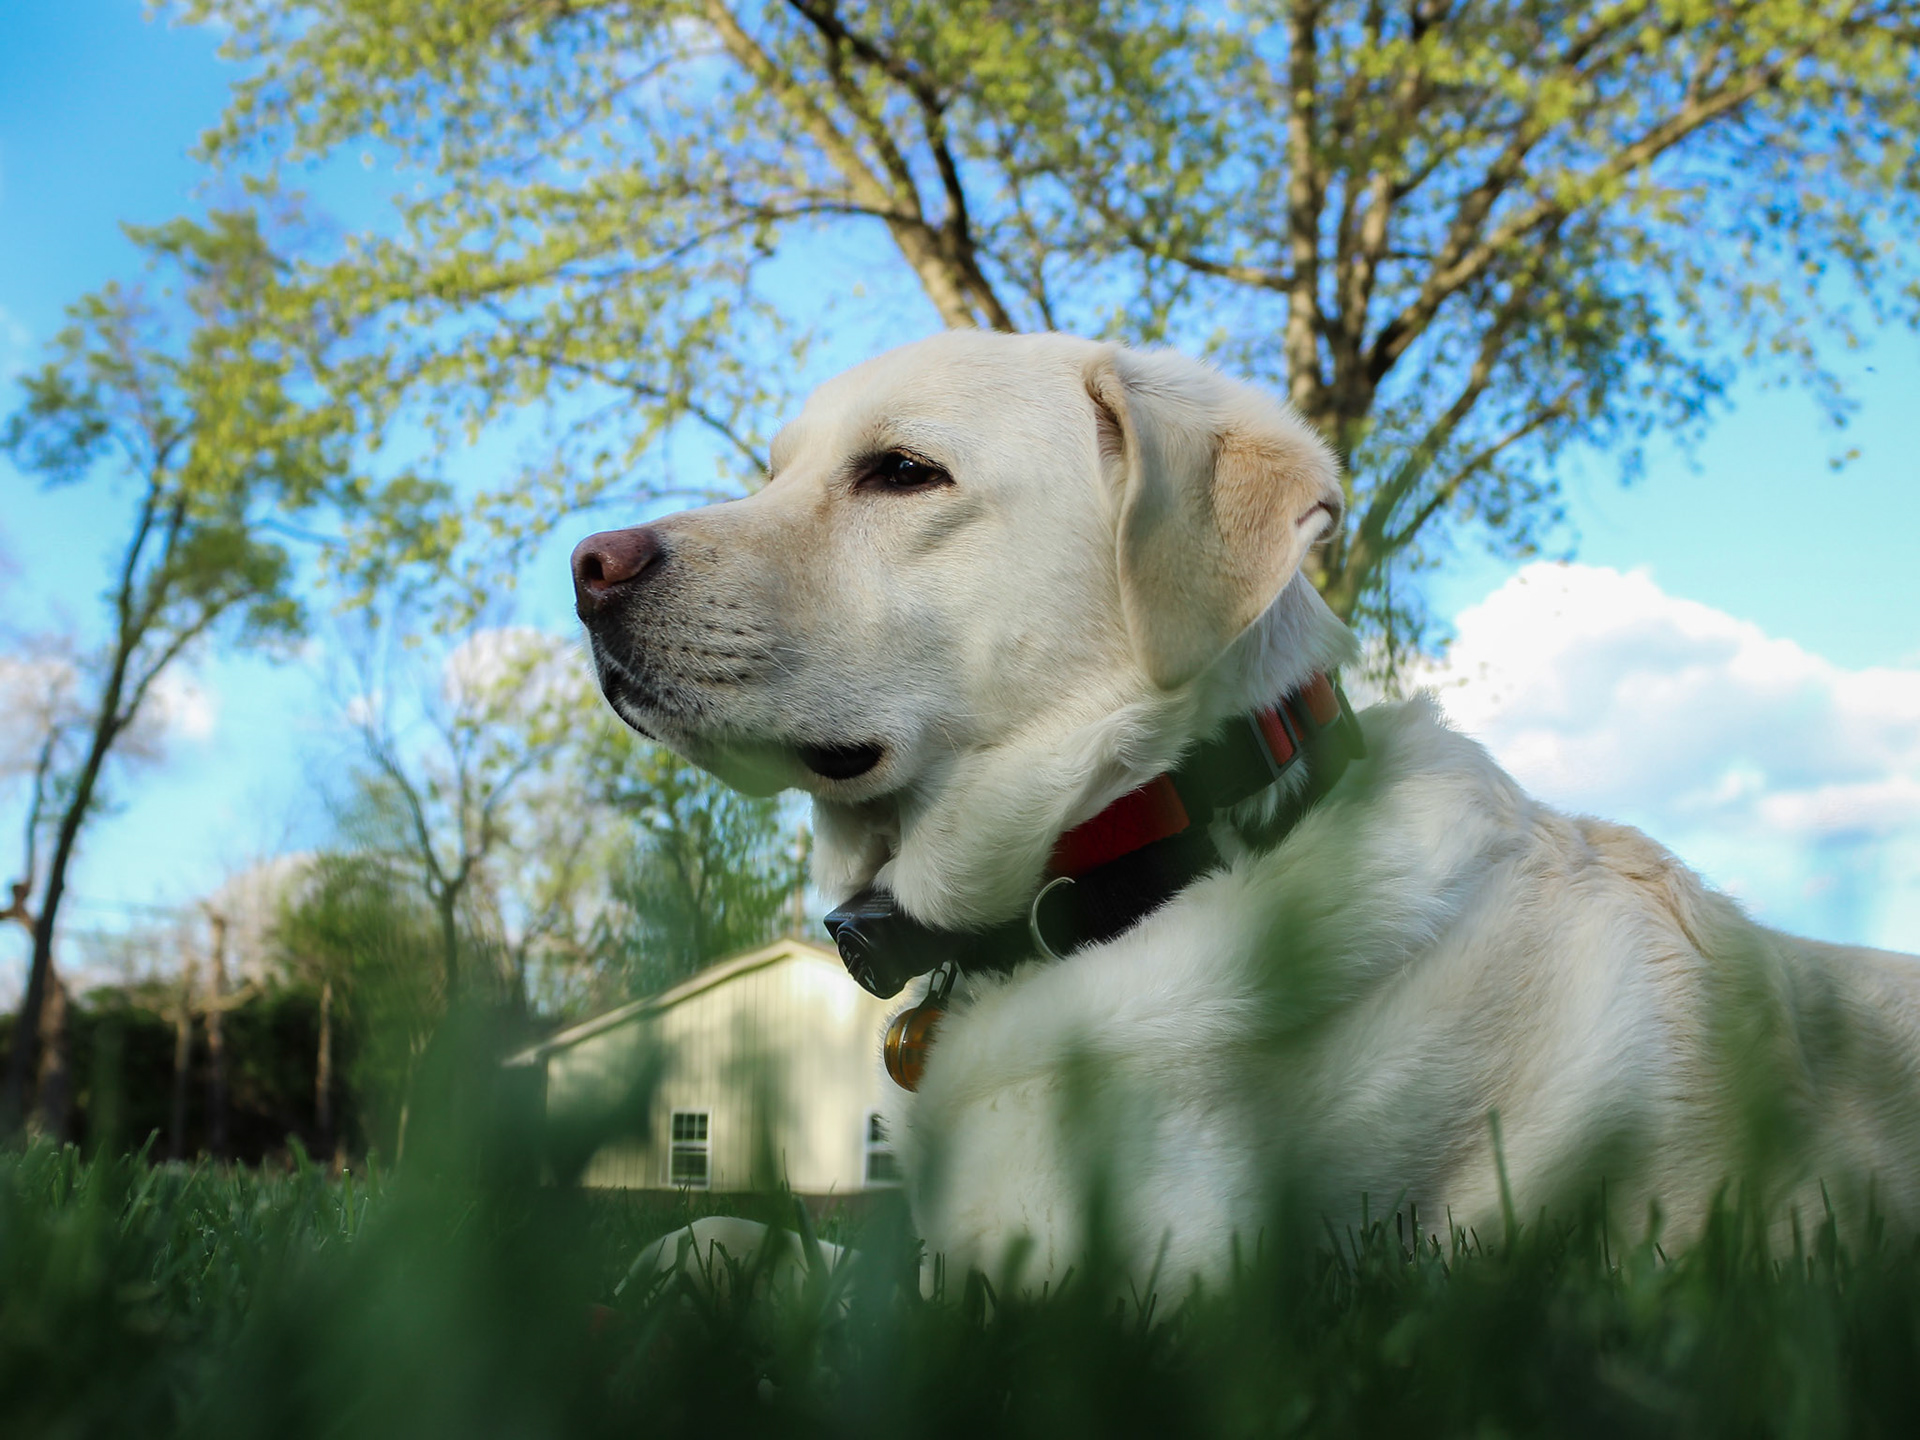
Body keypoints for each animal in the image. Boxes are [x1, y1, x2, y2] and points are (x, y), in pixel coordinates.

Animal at [572, 330, 1920, 1290]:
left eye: (903, 473)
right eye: (775, 471)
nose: (585, 569)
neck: (1154, 845)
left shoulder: (1104, 1276)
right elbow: (737, 1239)